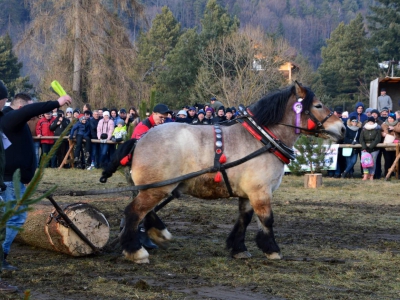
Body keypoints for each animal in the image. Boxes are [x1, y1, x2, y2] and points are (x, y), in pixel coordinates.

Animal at [120, 81, 346, 262]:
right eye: (317, 105)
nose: (343, 128)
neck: (262, 138)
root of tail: (139, 141)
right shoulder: (261, 191)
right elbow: (267, 219)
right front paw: (272, 249)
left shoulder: (248, 193)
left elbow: (244, 219)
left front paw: (238, 248)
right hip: (156, 188)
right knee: (134, 212)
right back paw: (136, 251)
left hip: (157, 188)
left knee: (146, 212)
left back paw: (158, 234)